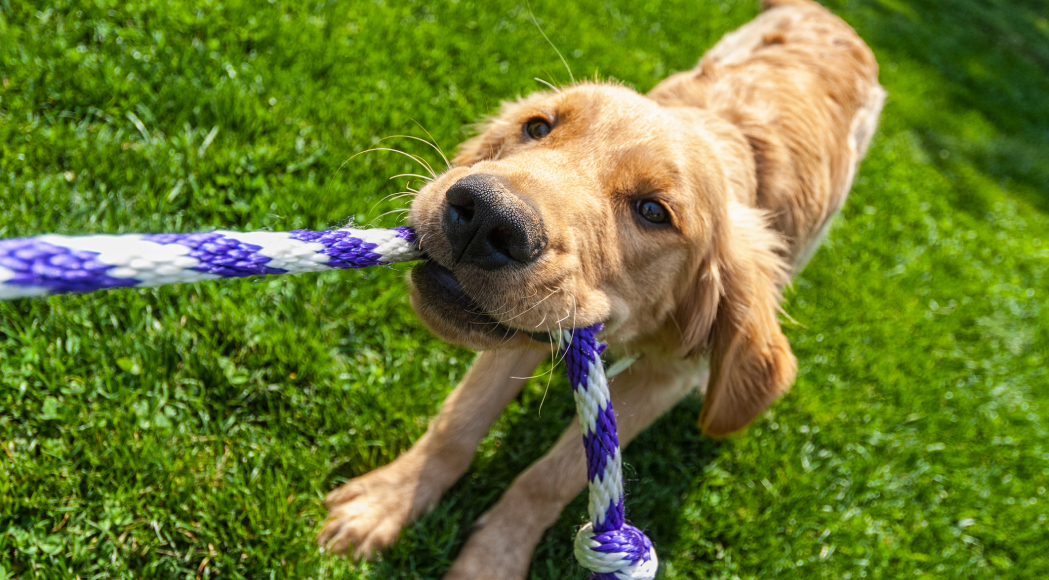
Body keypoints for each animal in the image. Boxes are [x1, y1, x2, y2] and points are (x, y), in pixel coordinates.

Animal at [316, 0, 885, 574]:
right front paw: (387, 501)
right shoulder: (526, 325)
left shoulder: (660, 375)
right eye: (537, 126)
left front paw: (490, 561)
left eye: (653, 211)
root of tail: (832, 18)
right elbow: (459, 420)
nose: (486, 217)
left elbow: (550, 477)